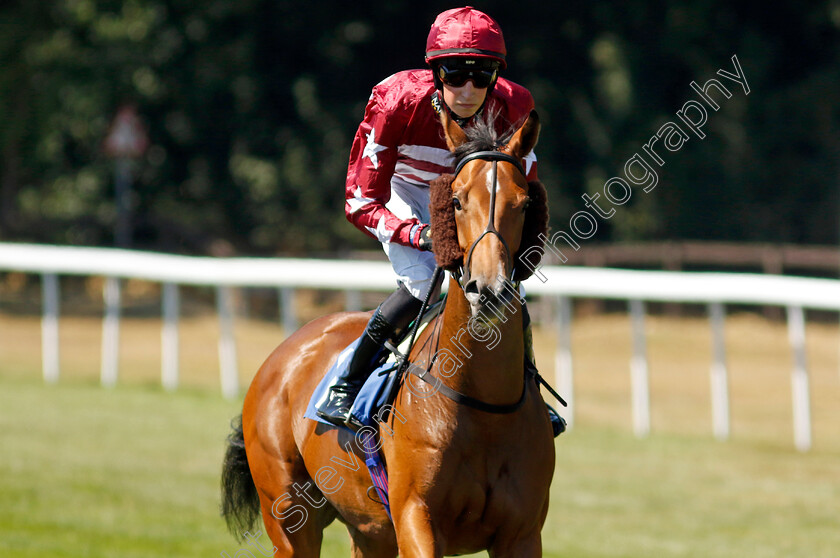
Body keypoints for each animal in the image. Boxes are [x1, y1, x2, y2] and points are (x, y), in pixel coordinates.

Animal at [220, 109, 556, 558]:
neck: (483, 405)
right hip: (289, 517)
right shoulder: (416, 517)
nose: (488, 290)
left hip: (368, 529)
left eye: (524, 203)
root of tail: (283, 354)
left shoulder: (522, 533)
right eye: (456, 200)